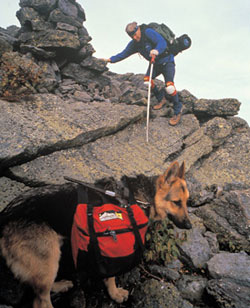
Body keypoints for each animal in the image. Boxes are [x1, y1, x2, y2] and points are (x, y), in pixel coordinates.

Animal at [0, 162, 191, 306]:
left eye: (186, 201)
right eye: (176, 202)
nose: (189, 226)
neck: (138, 198)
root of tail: (5, 216)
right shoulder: (113, 248)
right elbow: (111, 277)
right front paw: (114, 294)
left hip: (52, 257)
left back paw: (59, 285)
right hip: (49, 259)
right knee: (41, 301)